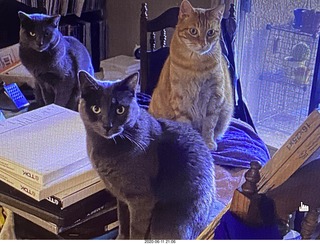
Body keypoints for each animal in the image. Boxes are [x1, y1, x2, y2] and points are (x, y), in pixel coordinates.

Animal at [149, 0, 234, 151]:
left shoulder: (214, 99)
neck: (197, 66)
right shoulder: (181, 99)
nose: (203, 44)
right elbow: (186, 124)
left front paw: (208, 142)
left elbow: (209, 125)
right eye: (193, 31)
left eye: (210, 32)